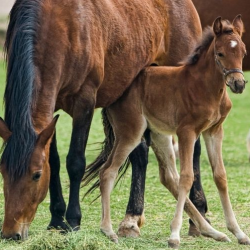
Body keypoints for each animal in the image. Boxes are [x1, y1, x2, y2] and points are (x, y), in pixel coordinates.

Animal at [0, 0, 202, 240]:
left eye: (36, 175)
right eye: (2, 171)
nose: (10, 233)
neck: (59, 25)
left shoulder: (84, 103)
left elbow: (75, 162)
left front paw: (73, 220)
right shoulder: (51, 110)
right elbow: (54, 161)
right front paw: (57, 219)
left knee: (195, 149)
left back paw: (198, 215)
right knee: (140, 154)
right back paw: (132, 219)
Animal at [86, 16, 250, 248]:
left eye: (243, 52)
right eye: (220, 53)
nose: (238, 84)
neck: (206, 87)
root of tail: (114, 93)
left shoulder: (214, 131)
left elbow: (220, 176)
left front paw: (239, 232)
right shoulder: (187, 131)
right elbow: (187, 177)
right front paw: (174, 236)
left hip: (158, 134)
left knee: (168, 177)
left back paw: (212, 231)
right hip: (131, 132)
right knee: (108, 172)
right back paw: (108, 230)